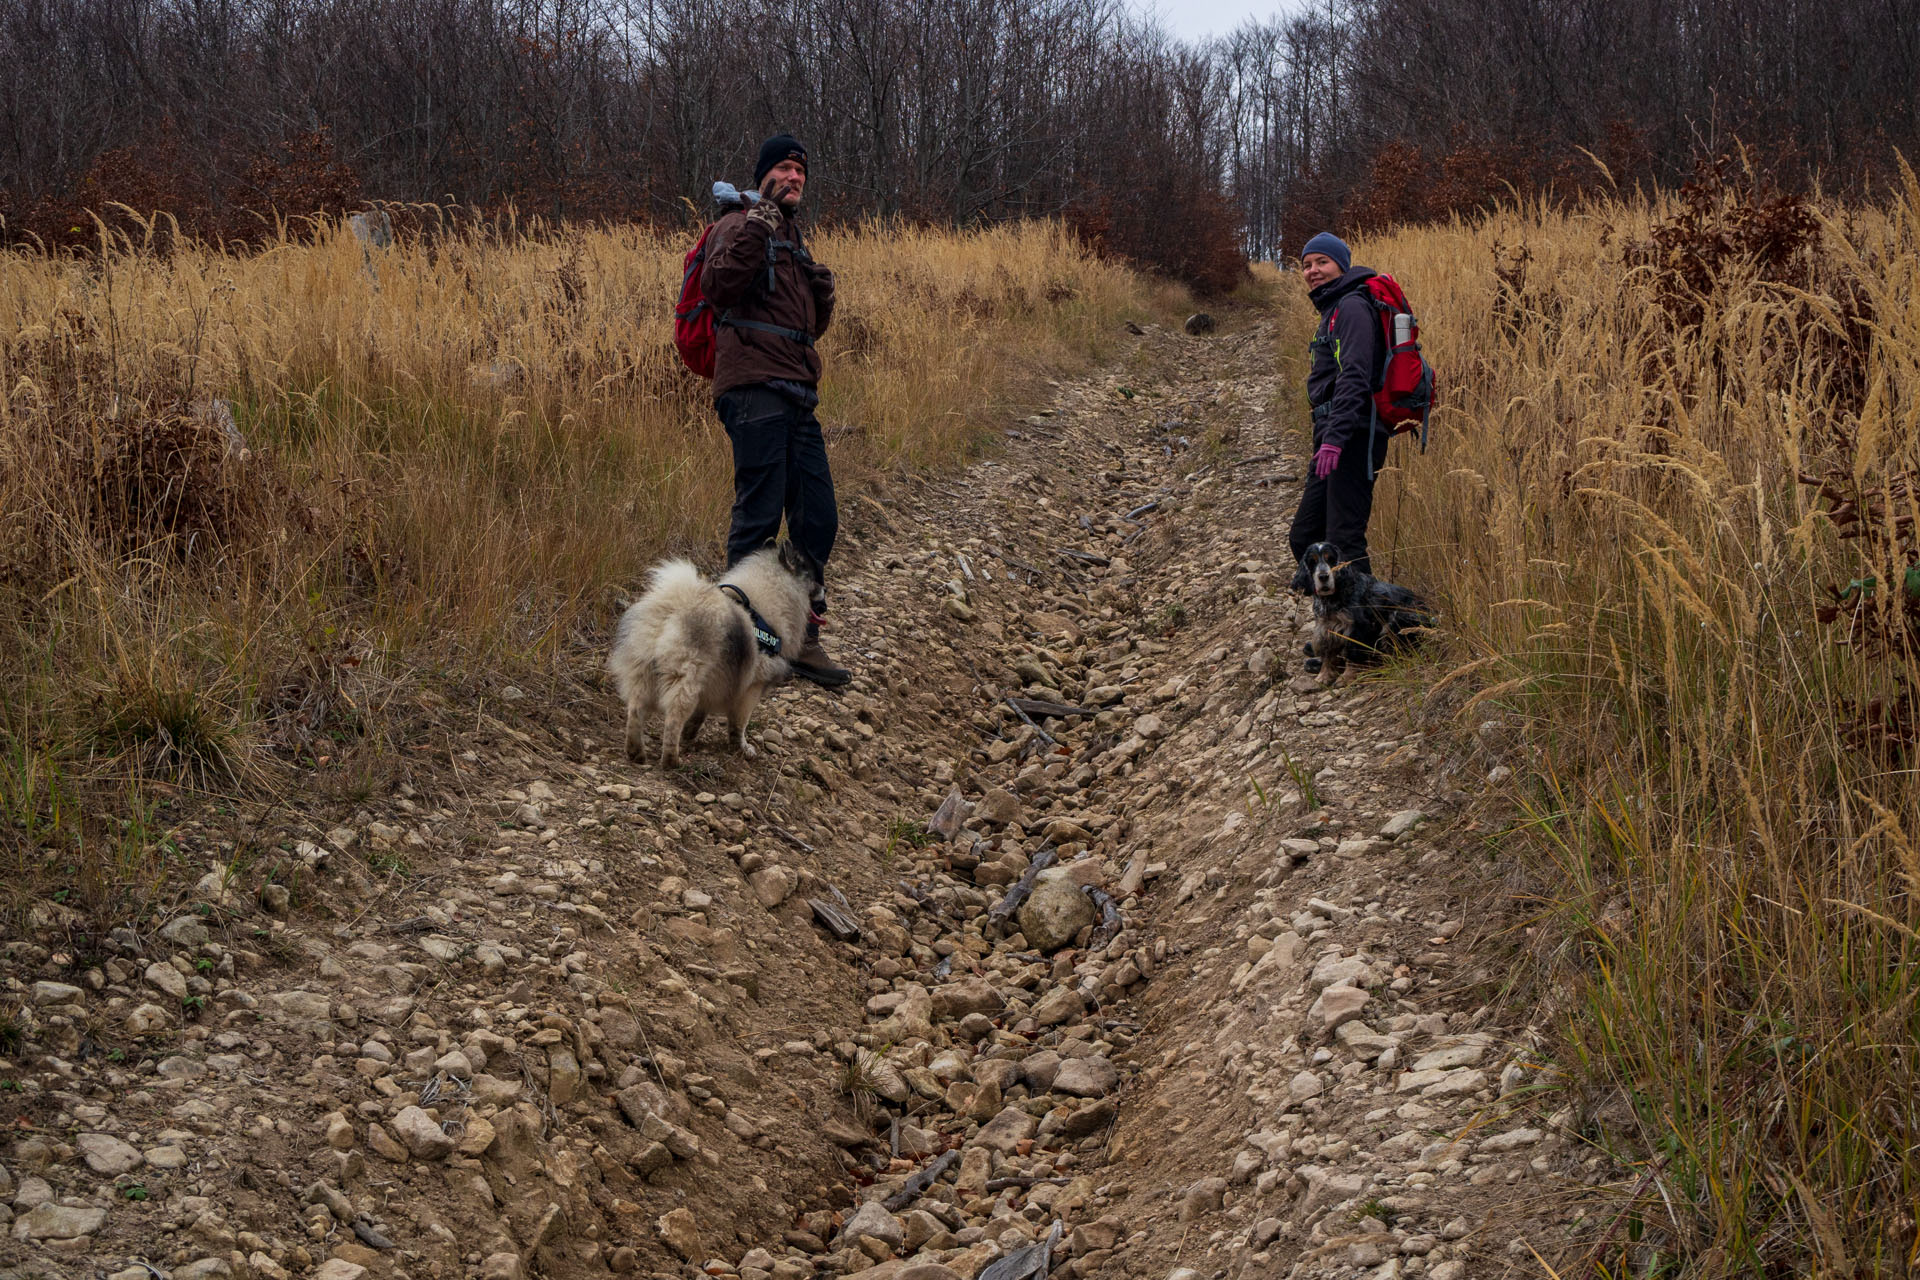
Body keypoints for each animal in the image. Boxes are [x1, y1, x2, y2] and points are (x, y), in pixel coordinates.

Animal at [610, 545, 814, 767]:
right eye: (808, 569)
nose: (824, 590)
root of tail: (673, 606)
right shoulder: (752, 688)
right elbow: (740, 724)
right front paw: (742, 747)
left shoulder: (714, 682)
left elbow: (701, 713)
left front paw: (691, 733)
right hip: (686, 678)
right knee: (673, 719)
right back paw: (671, 760)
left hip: (644, 671)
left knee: (635, 711)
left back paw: (636, 752)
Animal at [1282, 545, 1436, 675]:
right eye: (1312, 561)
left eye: (1331, 559)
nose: (1323, 576)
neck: (1335, 596)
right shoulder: (1326, 628)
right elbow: (1328, 656)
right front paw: (1324, 675)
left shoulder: (1357, 628)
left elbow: (1353, 654)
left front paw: (1347, 676)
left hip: (1396, 621)